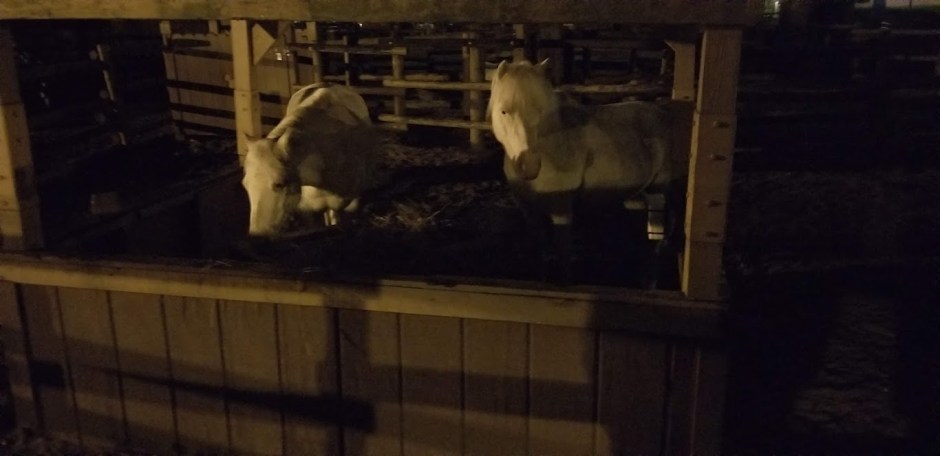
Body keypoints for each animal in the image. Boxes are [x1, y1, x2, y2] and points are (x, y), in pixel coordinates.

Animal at [488, 59, 681, 285]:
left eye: (541, 110)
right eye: (504, 111)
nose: (529, 166)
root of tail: (663, 113)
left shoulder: (562, 210)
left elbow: (563, 254)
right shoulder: (528, 210)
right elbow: (541, 251)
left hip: (658, 194)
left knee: (656, 237)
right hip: (635, 195)